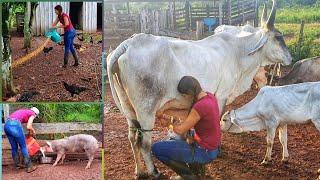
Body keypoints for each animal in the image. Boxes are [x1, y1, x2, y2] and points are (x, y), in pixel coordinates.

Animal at [106, 0, 292, 177]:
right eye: (278, 37)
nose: (290, 58)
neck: (238, 52)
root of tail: (129, 43)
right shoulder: (221, 95)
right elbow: (218, 119)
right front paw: (218, 148)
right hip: (146, 110)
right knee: (144, 143)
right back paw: (154, 171)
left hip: (128, 109)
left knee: (132, 138)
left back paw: (139, 171)